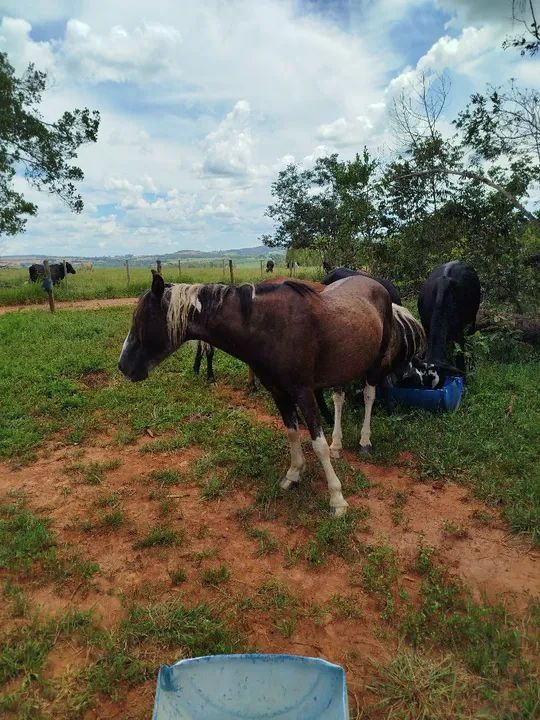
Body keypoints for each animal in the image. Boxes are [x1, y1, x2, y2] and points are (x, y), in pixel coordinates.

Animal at [119, 272, 403, 515]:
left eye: (142, 319)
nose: (123, 366)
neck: (270, 326)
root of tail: (377, 285)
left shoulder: (304, 392)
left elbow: (317, 444)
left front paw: (337, 499)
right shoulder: (279, 392)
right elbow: (292, 433)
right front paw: (293, 475)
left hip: (376, 362)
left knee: (368, 396)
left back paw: (365, 441)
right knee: (339, 398)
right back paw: (338, 444)